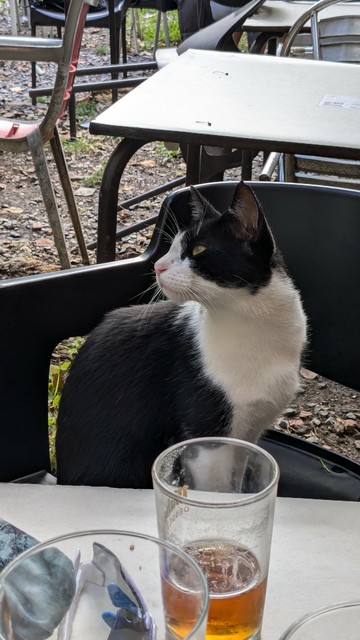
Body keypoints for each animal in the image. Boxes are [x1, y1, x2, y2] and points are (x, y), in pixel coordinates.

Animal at [56, 182, 306, 488]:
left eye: (198, 248)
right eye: (173, 247)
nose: (157, 266)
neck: (249, 326)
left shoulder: (247, 435)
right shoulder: (207, 440)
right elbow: (216, 489)